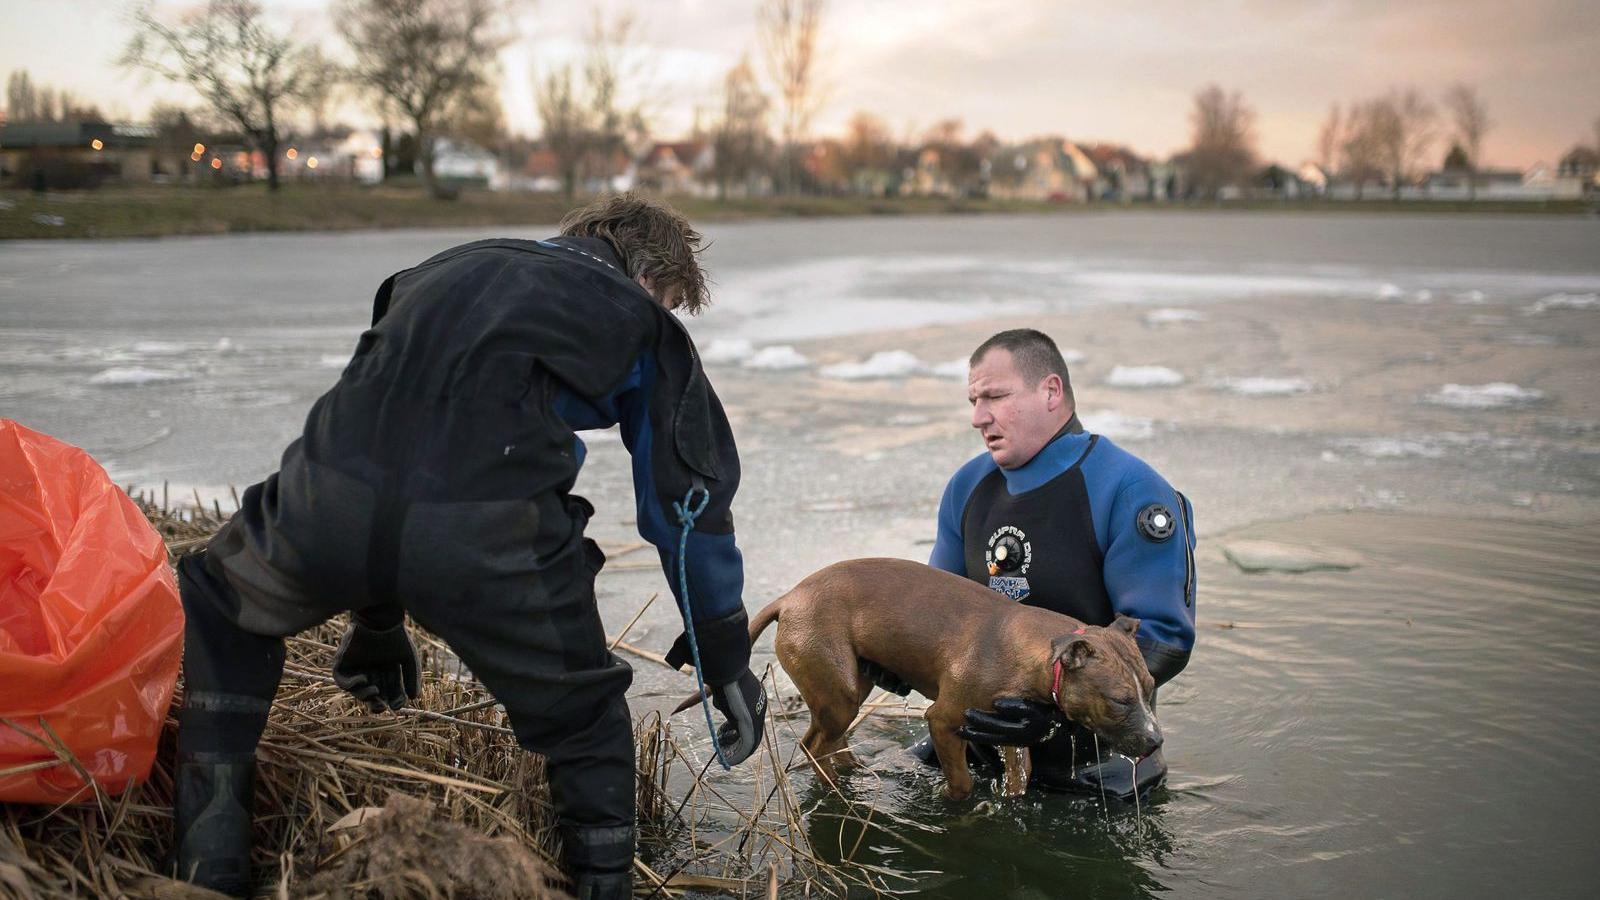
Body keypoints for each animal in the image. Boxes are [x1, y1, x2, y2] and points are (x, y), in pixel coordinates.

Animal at [678, 557, 1164, 794]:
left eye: (1150, 691)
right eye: (1120, 701)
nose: (1157, 741)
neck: (1032, 649)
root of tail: (790, 597)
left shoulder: (1011, 729)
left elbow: (1019, 779)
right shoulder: (944, 721)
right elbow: (963, 782)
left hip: (847, 688)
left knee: (832, 742)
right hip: (836, 693)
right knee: (814, 747)